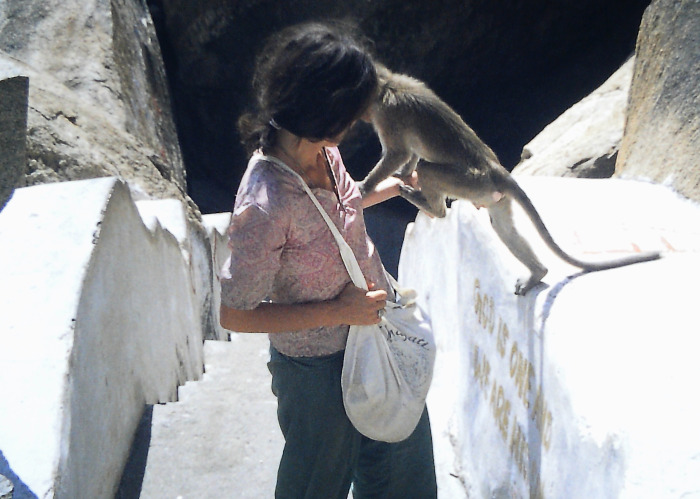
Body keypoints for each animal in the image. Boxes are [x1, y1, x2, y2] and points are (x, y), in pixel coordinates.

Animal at [360, 64, 660, 294]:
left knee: (428, 170)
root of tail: (495, 168)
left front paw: (365, 187)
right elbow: (408, 154)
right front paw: (400, 174)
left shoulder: (388, 114)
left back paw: (434, 208)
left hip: (471, 182)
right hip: (489, 193)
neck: (386, 84)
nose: (360, 117)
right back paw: (538, 272)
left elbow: (399, 153)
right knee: (504, 228)